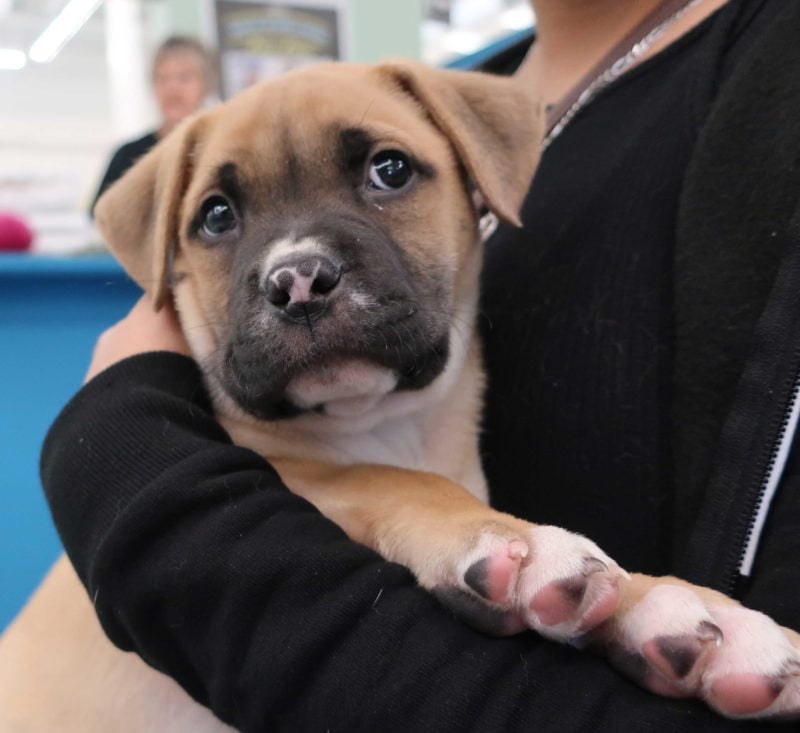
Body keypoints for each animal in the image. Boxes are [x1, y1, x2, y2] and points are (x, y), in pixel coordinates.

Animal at [1, 61, 800, 728]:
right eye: (217, 216)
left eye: (390, 170)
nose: (297, 280)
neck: (383, 420)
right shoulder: (293, 468)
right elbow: (390, 481)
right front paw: (512, 539)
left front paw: (680, 608)